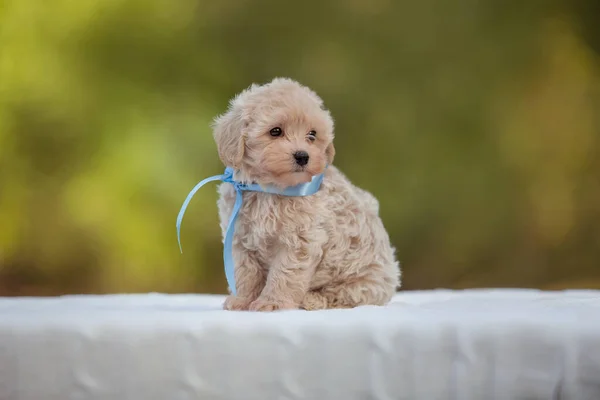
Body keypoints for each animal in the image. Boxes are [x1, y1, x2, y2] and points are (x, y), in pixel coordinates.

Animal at [213, 76, 400, 310]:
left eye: (312, 135)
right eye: (275, 131)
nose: (302, 156)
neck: (269, 189)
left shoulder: (299, 241)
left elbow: (284, 274)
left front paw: (273, 303)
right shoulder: (239, 239)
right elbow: (245, 273)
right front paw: (242, 300)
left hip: (365, 280)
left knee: (346, 295)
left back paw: (312, 299)